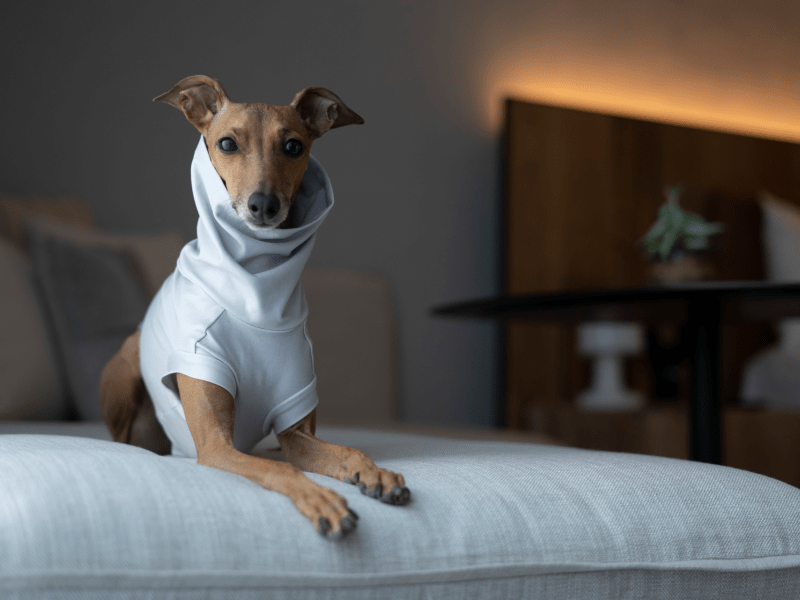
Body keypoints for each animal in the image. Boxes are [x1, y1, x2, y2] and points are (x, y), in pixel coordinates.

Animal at [100, 75, 410, 540]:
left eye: (294, 146)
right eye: (227, 143)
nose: (263, 205)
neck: (256, 290)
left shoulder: (296, 432)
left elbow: (343, 450)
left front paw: (374, 472)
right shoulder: (214, 446)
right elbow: (278, 470)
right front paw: (322, 500)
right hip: (125, 365)